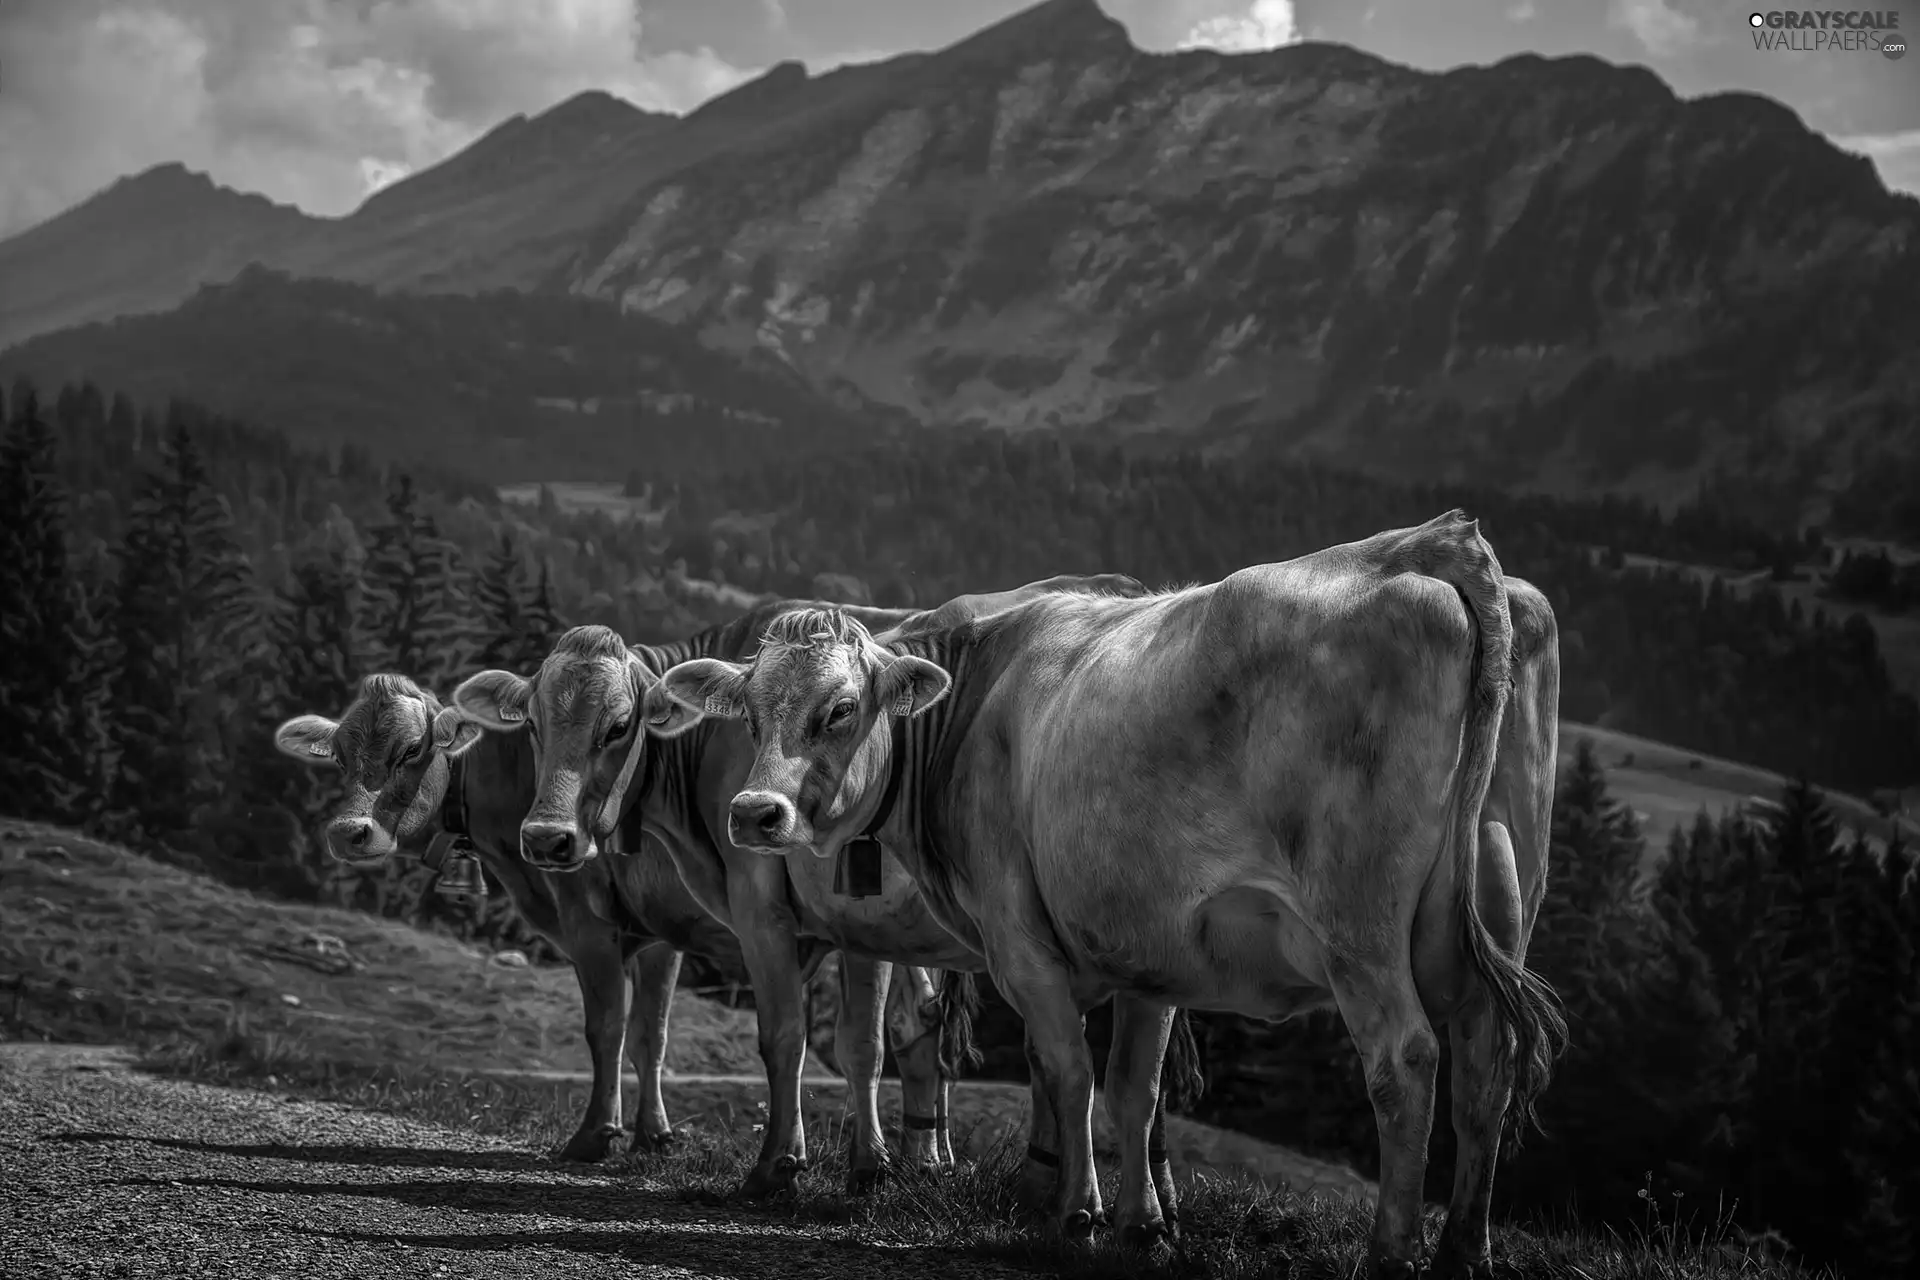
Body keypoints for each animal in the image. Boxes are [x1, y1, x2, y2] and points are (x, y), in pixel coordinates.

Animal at [272, 660, 952, 1182]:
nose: (347, 832)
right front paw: (654, 1134)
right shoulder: (659, 934)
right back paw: (927, 1159)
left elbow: (607, 1026)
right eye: (338, 756)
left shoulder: (587, 918)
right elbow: (652, 1033)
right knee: (921, 1022)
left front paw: (597, 1134)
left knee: (872, 1033)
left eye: (411, 750)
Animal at [449, 575, 1198, 1220]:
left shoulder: (727, 911)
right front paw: (871, 1168)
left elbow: (753, 1034)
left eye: (618, 725)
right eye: (534, 725)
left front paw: (765, 1165)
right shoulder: (842, 925)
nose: (548, 838)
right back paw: (1123, 1195)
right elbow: (846, 1042)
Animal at [648, 514, 1574, 1280]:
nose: (753, 813)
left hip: (1361, 931)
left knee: (1406, 1062)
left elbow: (1064, 1070)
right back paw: (1463, 1250)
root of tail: (1432, 541)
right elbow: (1133, 1089)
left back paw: (1391, 1254)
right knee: (1487, 1065)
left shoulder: (1018, 940)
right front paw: (1141, 1224)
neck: (975, 706)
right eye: (750, 715)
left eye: (840, 710)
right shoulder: (1150, 945)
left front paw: (1076, 1215)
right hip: (1499, 908)